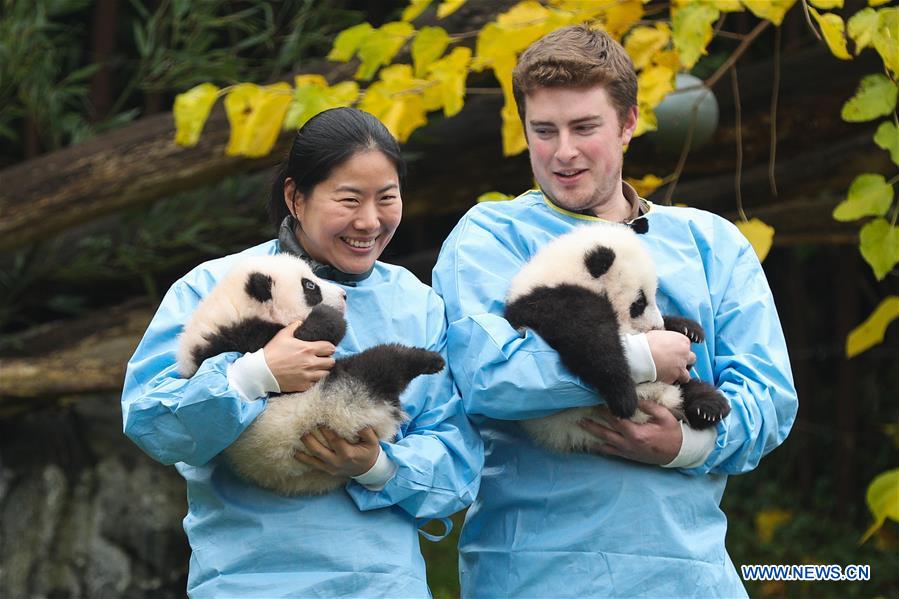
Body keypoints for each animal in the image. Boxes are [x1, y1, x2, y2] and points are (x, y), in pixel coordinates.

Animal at [177, 253, 445, 494]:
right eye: (310, 286)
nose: (344, 295)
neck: (232, 309)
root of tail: (384, 412)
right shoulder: (244, 338)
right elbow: (313, 335)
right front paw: (330, 316)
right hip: (347, 393)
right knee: (384, 361)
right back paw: (428, 360)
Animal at [504, 222, 730, 454]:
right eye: (639, 303)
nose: (657, 326)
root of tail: (668, 401)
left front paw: (688, 329)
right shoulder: (551, 302)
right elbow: (590, 340)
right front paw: (623, 397)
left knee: (689, 389)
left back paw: (709, 407)